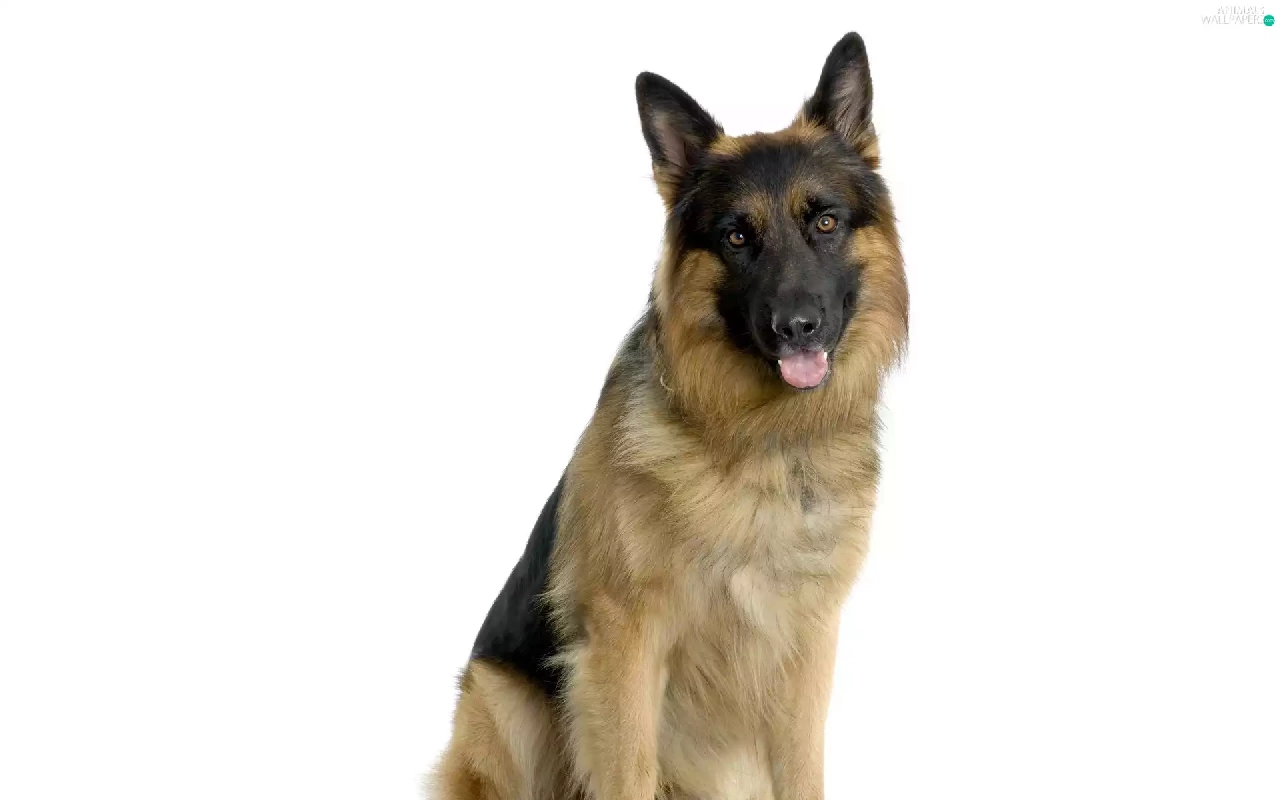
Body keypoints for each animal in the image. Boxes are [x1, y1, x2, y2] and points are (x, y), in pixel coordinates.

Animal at [428, 32, 908, 800]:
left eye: (826, 221)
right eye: (737, 237)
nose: (797, 327)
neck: (757, 436)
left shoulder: (807, 647)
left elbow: (802, 771)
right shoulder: (624, 646)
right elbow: (626, 769)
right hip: (506, 703)